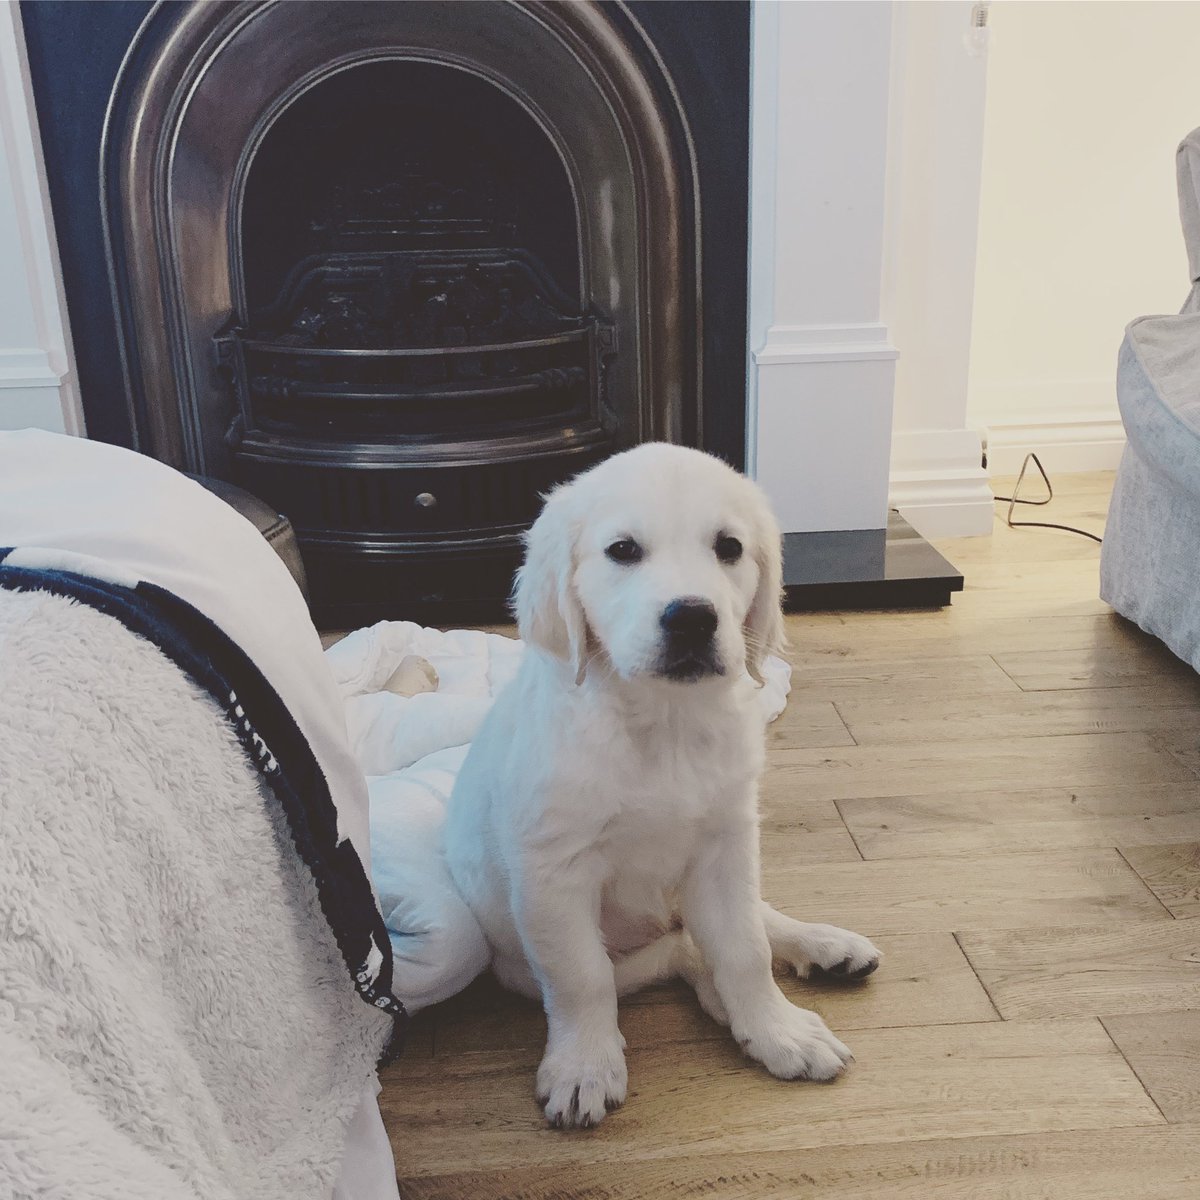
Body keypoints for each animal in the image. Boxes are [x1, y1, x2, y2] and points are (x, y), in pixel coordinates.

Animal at [446, 446, 878, 1128]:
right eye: (622, 550)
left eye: (729, 547)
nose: (692, 619)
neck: (663, 724)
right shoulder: (552, 873)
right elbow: (582, 977)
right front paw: (584, 1067)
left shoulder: (726, 847)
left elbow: (745, 950)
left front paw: (776, 1028)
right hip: (537, 959)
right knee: (678, 954)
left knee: (747, 925)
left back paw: (823, 946)